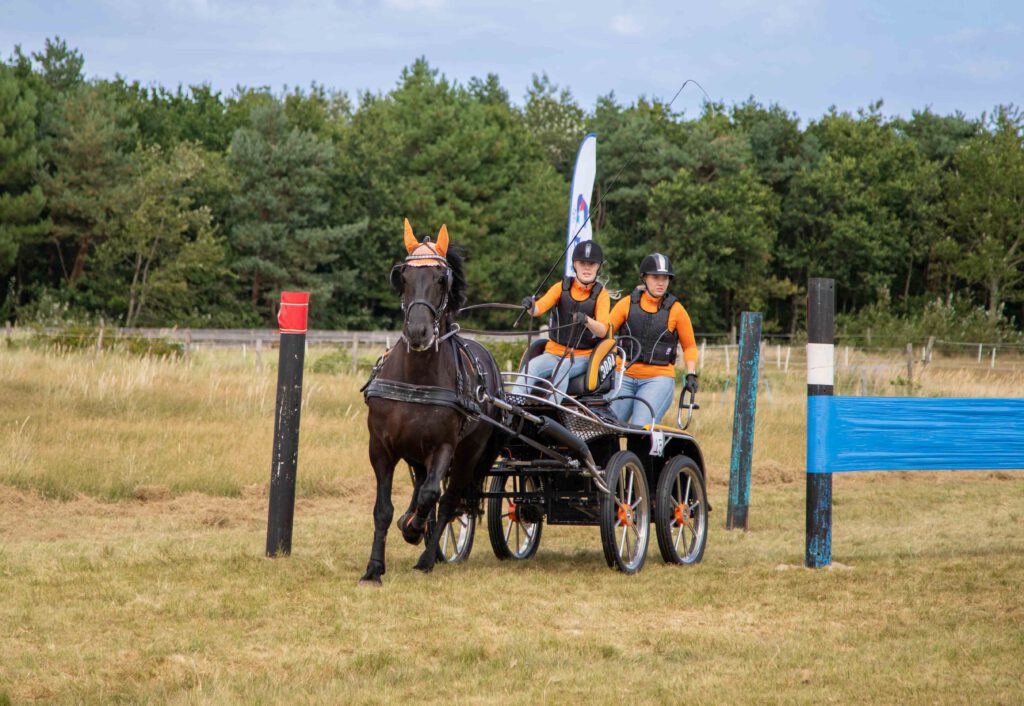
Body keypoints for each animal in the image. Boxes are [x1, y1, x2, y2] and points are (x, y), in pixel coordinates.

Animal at [360, 220, 503, 582]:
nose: (418, 332)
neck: (416, 378)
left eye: (441, 278)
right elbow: (383, 510)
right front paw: (374, 568)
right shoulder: (380, 448)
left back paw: (426, 556)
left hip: (468, 454)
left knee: (448, 498)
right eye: (404, 277)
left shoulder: (444, 447)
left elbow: (432, 494)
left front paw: (414, 529)